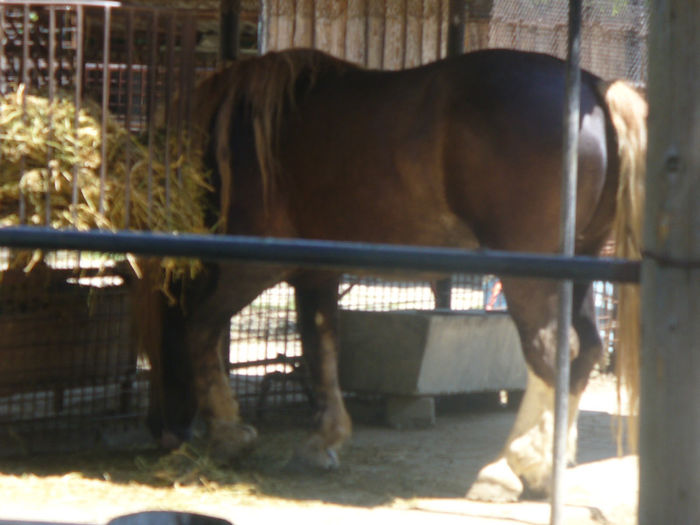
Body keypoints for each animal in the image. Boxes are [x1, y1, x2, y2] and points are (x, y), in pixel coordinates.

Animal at [135, 48, 644, 500]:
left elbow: (200, 329)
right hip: (579, 266)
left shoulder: (254, 265)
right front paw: (323, 441)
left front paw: (228, 434)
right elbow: (322, 348)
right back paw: (547, 469)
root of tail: (593, 88)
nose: (163, 431)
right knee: (586, 351)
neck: (235, 144)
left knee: (553, 351)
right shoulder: (317, 272)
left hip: (530, 276)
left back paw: (509, 468)